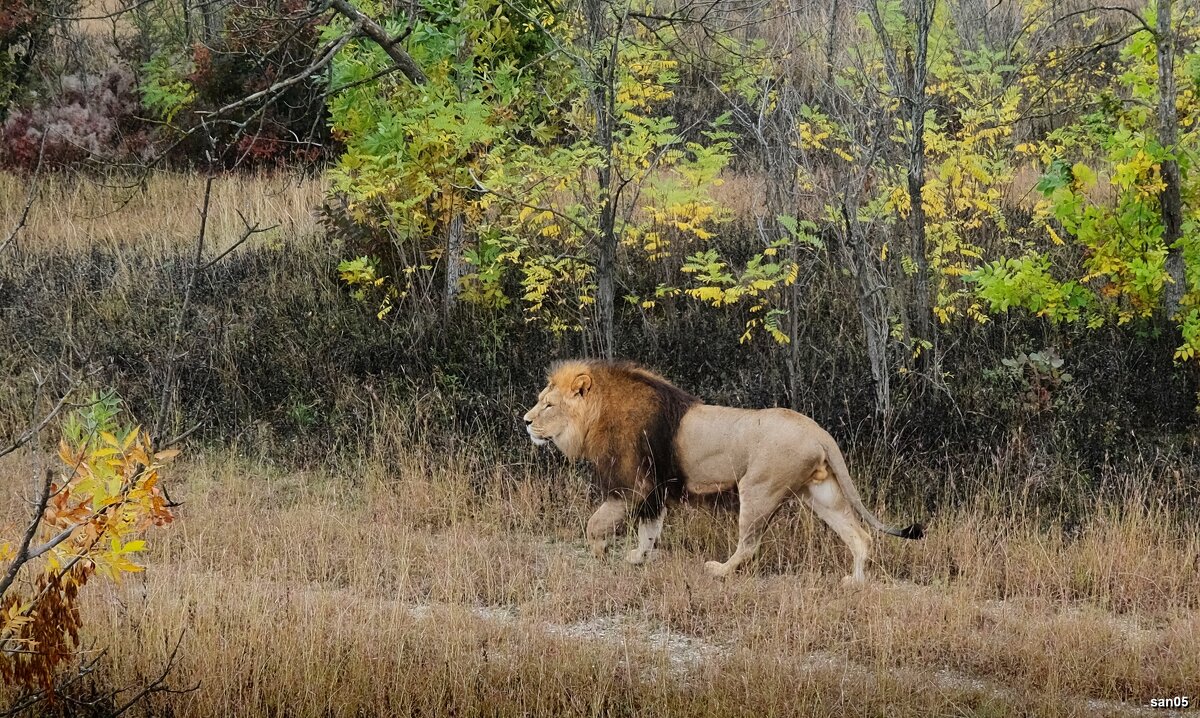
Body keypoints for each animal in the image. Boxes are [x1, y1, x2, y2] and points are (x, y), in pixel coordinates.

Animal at [520, 360, 921, 585]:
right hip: (822, 494)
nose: (525, 421)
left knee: (750, 544)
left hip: (758, 489)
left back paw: (719, 571)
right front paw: (639, 558)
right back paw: (855, 581)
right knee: (860, 536)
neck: (595, 417)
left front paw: (601, 551)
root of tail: (819, 432)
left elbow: (596, 523)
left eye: (548, 405)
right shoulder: (656, 488)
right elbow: (650, 530)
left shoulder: (634, 483)